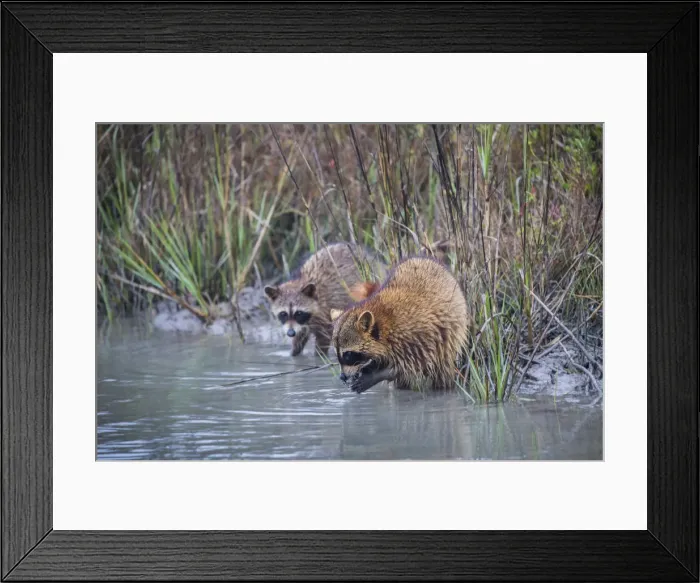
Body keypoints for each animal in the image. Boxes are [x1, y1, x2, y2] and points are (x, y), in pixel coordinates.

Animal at [330, 256, 469, 394]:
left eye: (348, 355)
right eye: (338, 354)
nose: (342, 377)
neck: (383, 324)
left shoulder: (419, 336)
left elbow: (413, 366)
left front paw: (376, 375)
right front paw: (370, 368)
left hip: (451, 334)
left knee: (443, 368)